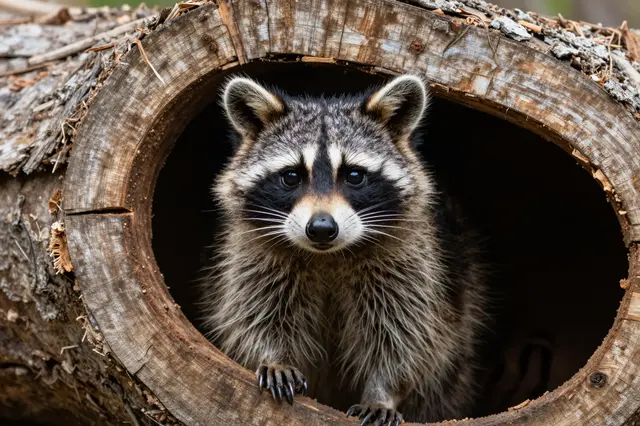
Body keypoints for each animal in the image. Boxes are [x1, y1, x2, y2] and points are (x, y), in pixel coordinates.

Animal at [202, 74, 488, 425]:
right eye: (291, 176)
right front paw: (273, 357)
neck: (328, 256)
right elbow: (253, 313)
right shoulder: (253, 256)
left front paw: (383, 392)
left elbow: (406, 335)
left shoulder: (409, 263)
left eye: (354, 175)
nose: (322, 228)